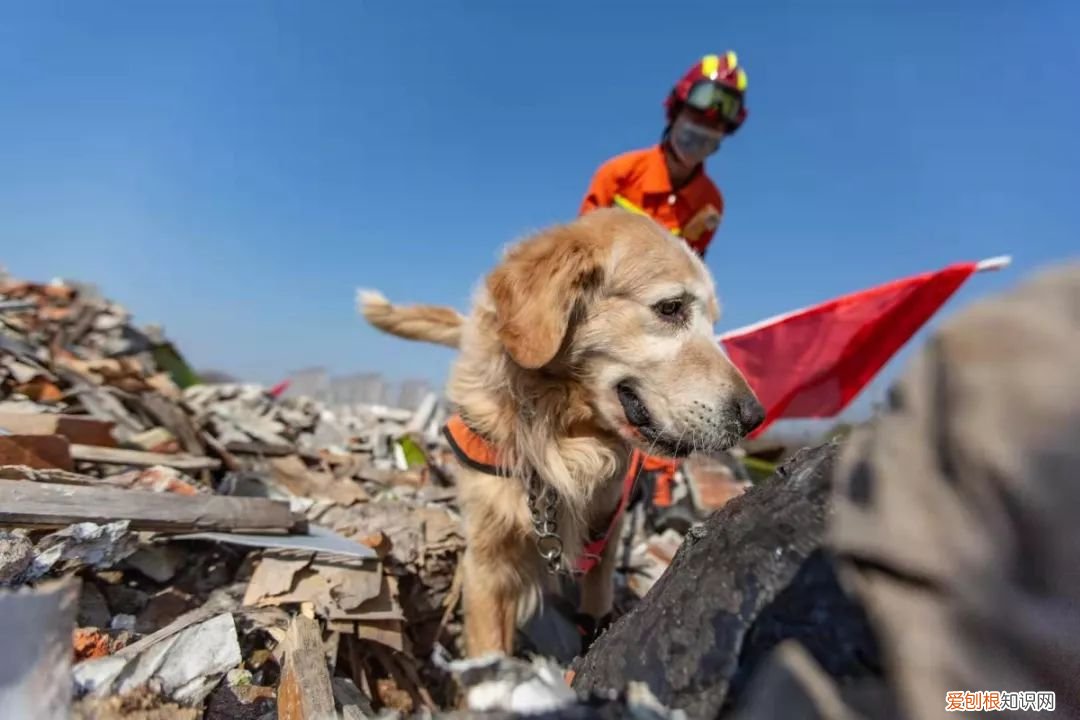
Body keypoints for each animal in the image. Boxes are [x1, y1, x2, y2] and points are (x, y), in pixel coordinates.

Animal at [358, 207, 764, 660]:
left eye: (713, 322)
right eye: (671, 307)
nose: (754, 416)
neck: (562, 433)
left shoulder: (605, 536)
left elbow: (596, 607)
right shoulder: (487, 560)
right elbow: (488, 646)